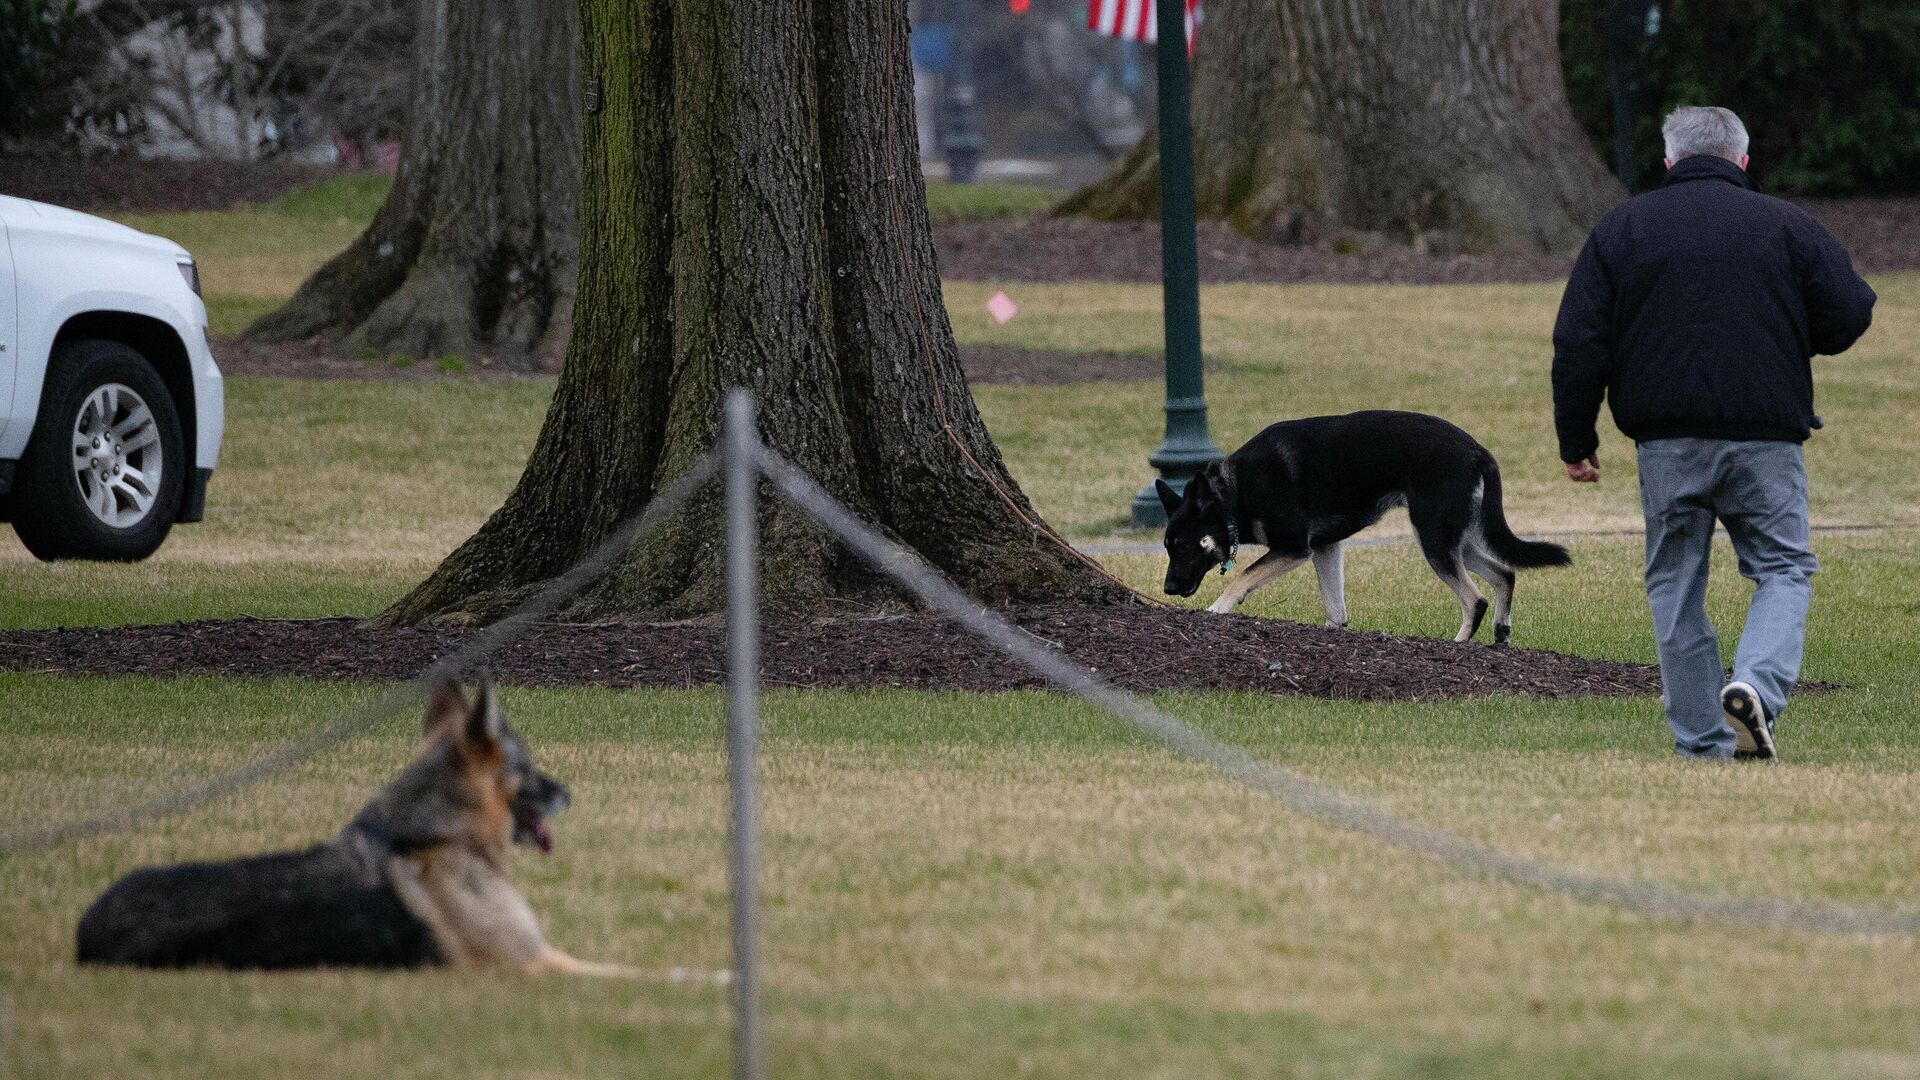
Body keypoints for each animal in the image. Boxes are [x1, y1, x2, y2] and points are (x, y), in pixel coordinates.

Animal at [76, 676, 629, 972]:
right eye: (530, 767)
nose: (569, 793)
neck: (435, 837)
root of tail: (86, 937)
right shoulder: (534, 963)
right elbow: (628, 972)